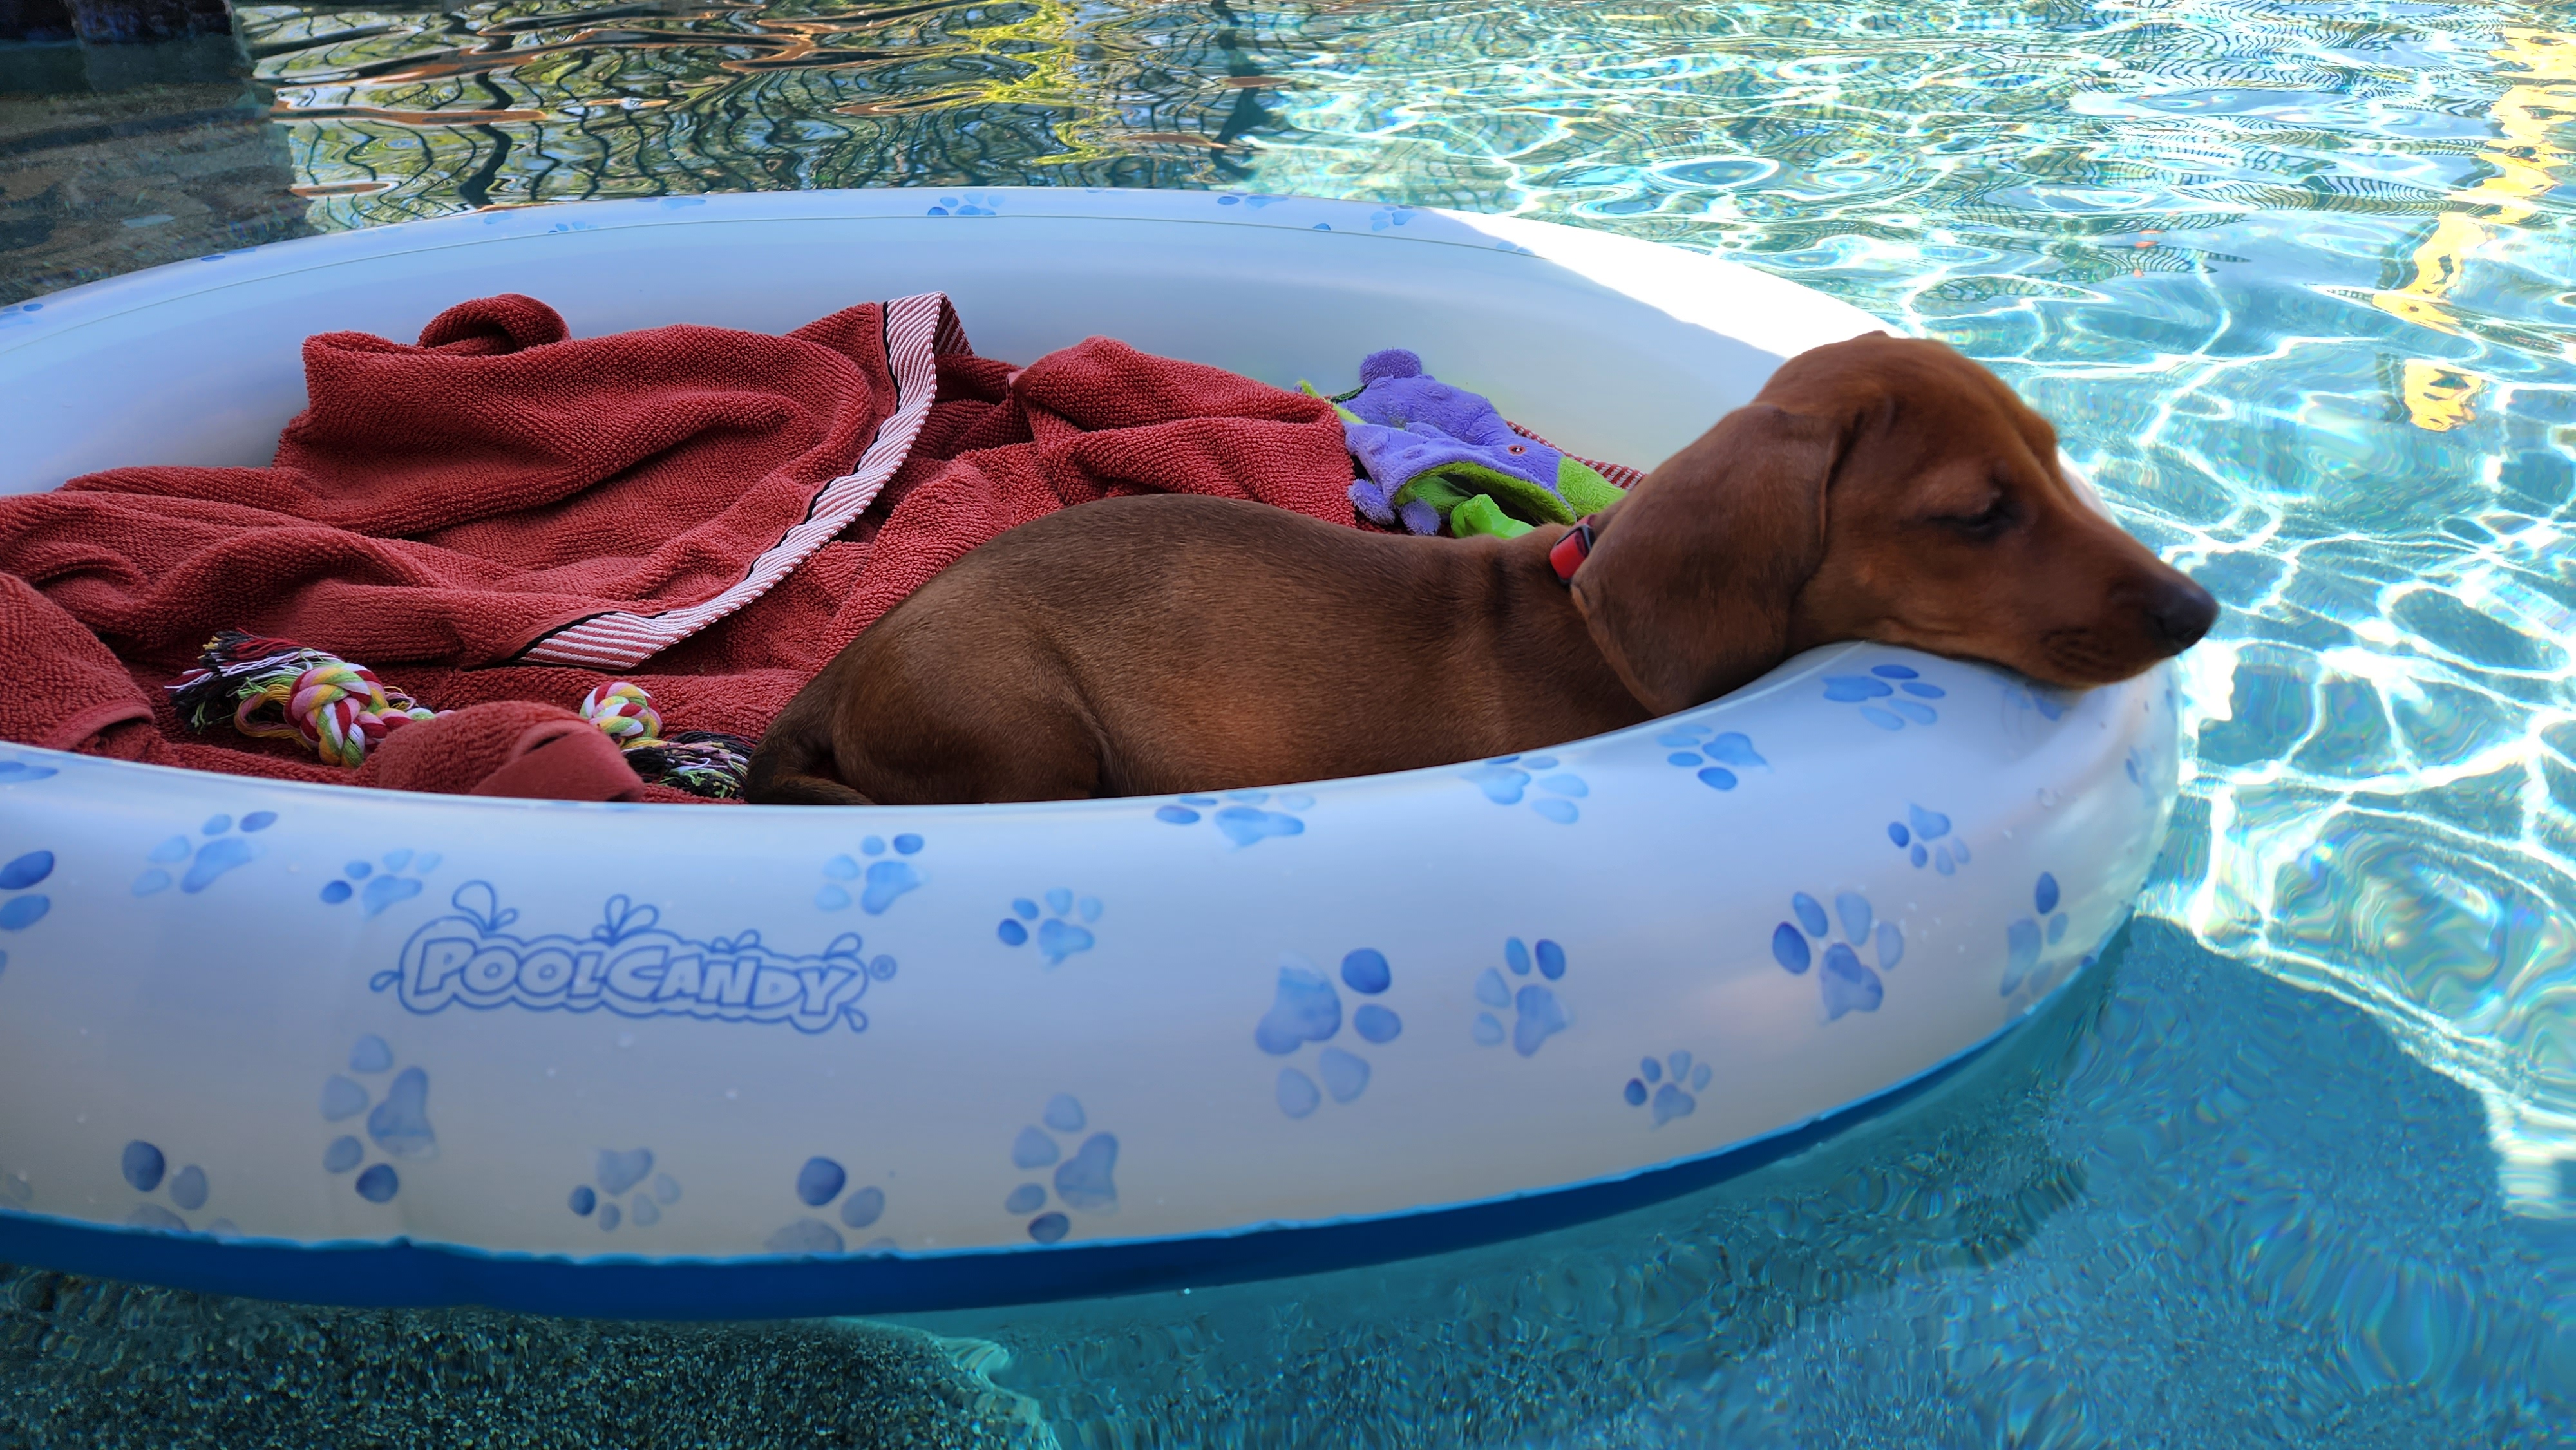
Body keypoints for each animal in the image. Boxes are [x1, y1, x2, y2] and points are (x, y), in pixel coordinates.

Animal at [747, 332, 2216, 805]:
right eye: (1975, 514)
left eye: (2052, 456)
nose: (2198, 610)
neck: (1586, 623)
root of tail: (842, 670)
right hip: (1020, 720)